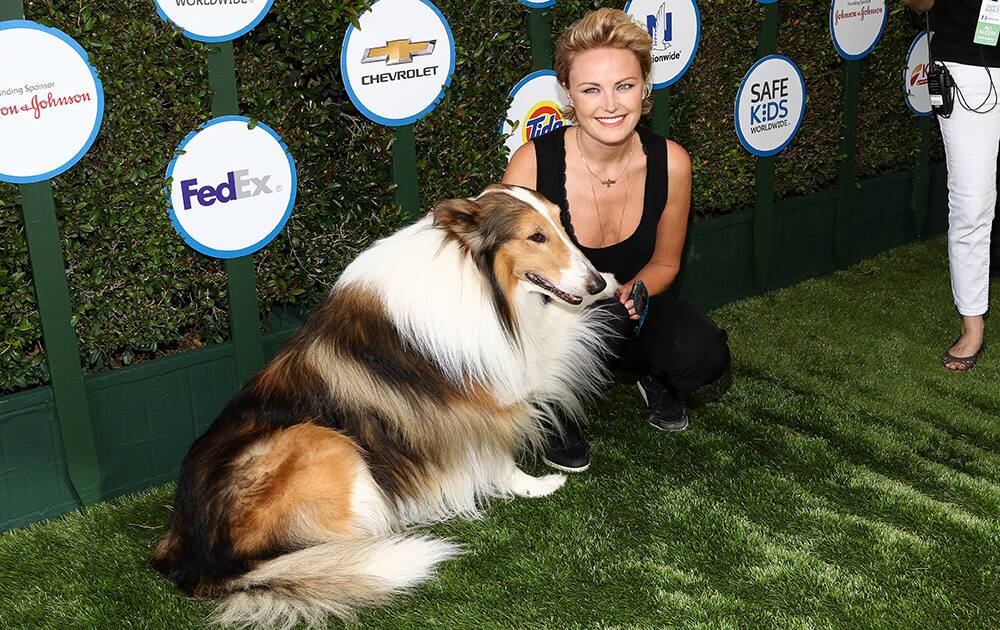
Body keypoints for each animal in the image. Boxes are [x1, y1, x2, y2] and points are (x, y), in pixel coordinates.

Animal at [154, 185, 616, 628]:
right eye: (535, 237)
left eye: (562, 221)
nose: (594, 282)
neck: (478, 279)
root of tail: (199, 562)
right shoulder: (480, 398)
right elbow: (499, 455)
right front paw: (535, 485)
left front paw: (612, 285)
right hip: (320, 440)